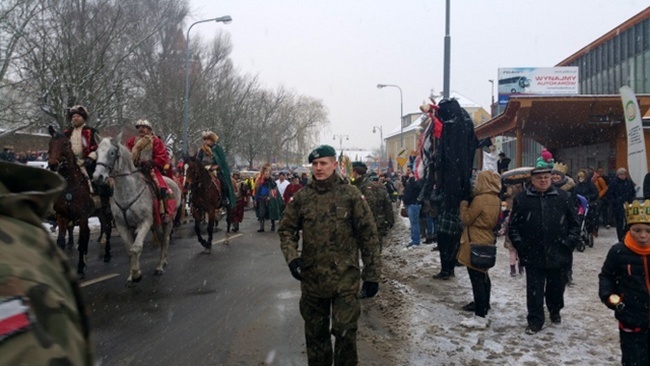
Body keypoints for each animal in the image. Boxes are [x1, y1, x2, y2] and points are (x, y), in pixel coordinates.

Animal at [47, 126, 113, 278]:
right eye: (50, 143)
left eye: (66, 144)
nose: (53, 164)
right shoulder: (62, 216)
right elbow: (61, 242)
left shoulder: (82, 217)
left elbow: (82, 241)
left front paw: (81, 268)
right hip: (99, 212)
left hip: (106, 209)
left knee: (107, 228)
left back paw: (107, 254)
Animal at [91, 134, 180, 286]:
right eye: (96, 153)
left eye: (112, 153)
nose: (98, 177)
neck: (127, 192)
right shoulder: (123, 226)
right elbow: (130, 250)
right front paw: (132, 275)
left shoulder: (145, 222)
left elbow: (136, 247)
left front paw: (137, 274)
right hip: (156, 224)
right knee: (161, 239)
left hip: (166, 221)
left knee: (165, 240)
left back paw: (160, 266)